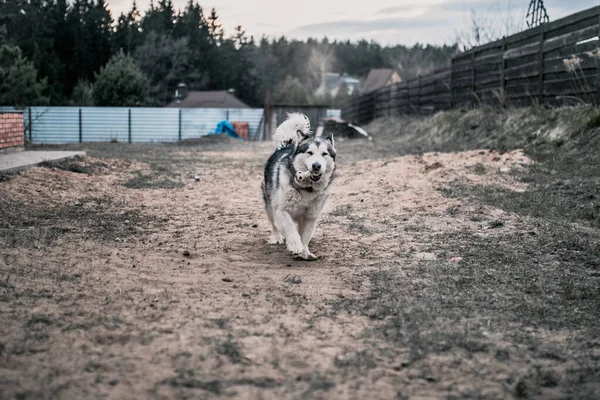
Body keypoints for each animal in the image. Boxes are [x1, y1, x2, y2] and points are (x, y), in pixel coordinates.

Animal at [262, 114, 338, 260]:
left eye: (324, 154)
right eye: (310, 152)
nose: (316, 166)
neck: (307, 189)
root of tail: (284, 147)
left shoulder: (311, 217)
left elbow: (305, 236)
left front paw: (305, 252)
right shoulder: (281, 210)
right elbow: (290, 227)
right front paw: (295, 245)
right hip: (270, 204)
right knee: (274, 224)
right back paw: (276, 237)